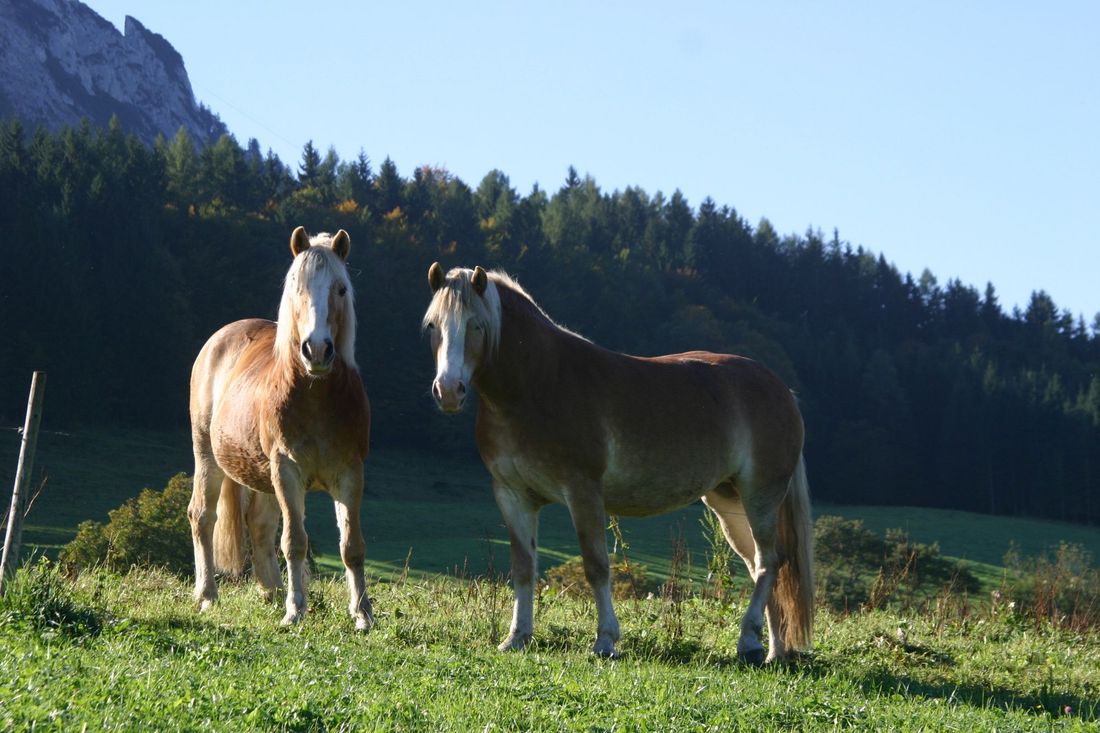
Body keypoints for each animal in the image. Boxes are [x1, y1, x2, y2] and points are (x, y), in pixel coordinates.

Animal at [188, 227, 373, 630]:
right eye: (296, 285)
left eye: (340, 289)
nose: (317, 350)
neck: (315, 396)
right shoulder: (287, 469)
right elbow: (294, 541)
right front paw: (295, 610)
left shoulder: (349, 473)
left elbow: (351, 545)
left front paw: (363, 614)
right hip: (207, 456)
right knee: (202, 516)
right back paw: (207, 594)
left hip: (263, 476)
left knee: (258, 526)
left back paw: (270, 592)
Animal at [422, 263, 813, 663]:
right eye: (432, 325)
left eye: (476, 325)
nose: (449, 391)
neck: (539, 384)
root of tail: (781, 389)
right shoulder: (513, 495)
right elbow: (523, 568)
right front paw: (517, 637)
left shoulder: (583, 491)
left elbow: (596, 566)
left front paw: (605, 641)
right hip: (728, 501)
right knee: (760, 566)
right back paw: (772, 649)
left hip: (760, 495)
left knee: (769, 562)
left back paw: (752, 642)